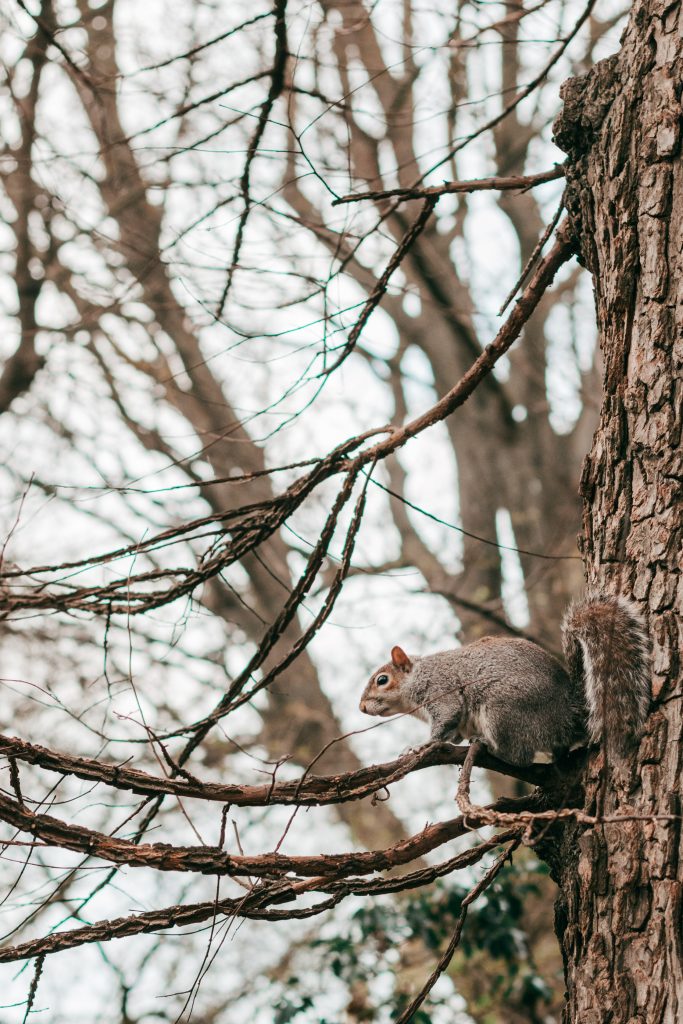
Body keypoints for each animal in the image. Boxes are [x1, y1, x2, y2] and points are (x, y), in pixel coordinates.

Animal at [358, 589, 651, 765]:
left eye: (382, 680)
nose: (361, 707)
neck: (418, 676)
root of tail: (568, 715)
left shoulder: (440, 690)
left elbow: (445, 719)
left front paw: (421, 746)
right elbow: (452, 731)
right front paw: (451, 740)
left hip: (503, 709)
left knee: (520, 756)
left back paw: (491, 746)